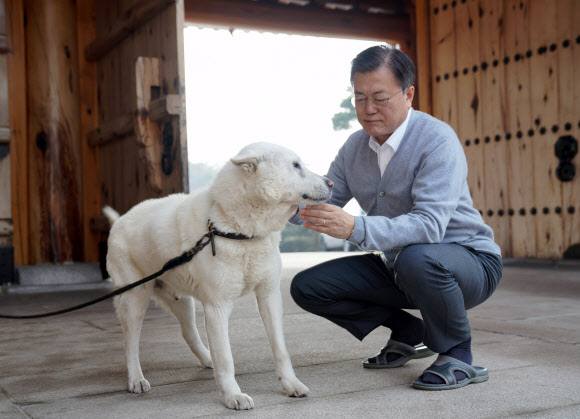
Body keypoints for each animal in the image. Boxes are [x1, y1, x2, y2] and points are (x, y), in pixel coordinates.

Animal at [102, 144, 334, 410]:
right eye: (296, 166)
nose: (331, 183)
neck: (236, 230)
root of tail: (119, 220)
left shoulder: (269, 296)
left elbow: (280, 348)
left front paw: (291, 384)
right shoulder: (217, 307)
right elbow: (226, 359)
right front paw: (233, 396)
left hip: (182, 301)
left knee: (189, 333)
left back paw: (206, 359)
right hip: (134, 300)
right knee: (130, 343)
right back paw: (136, 379)